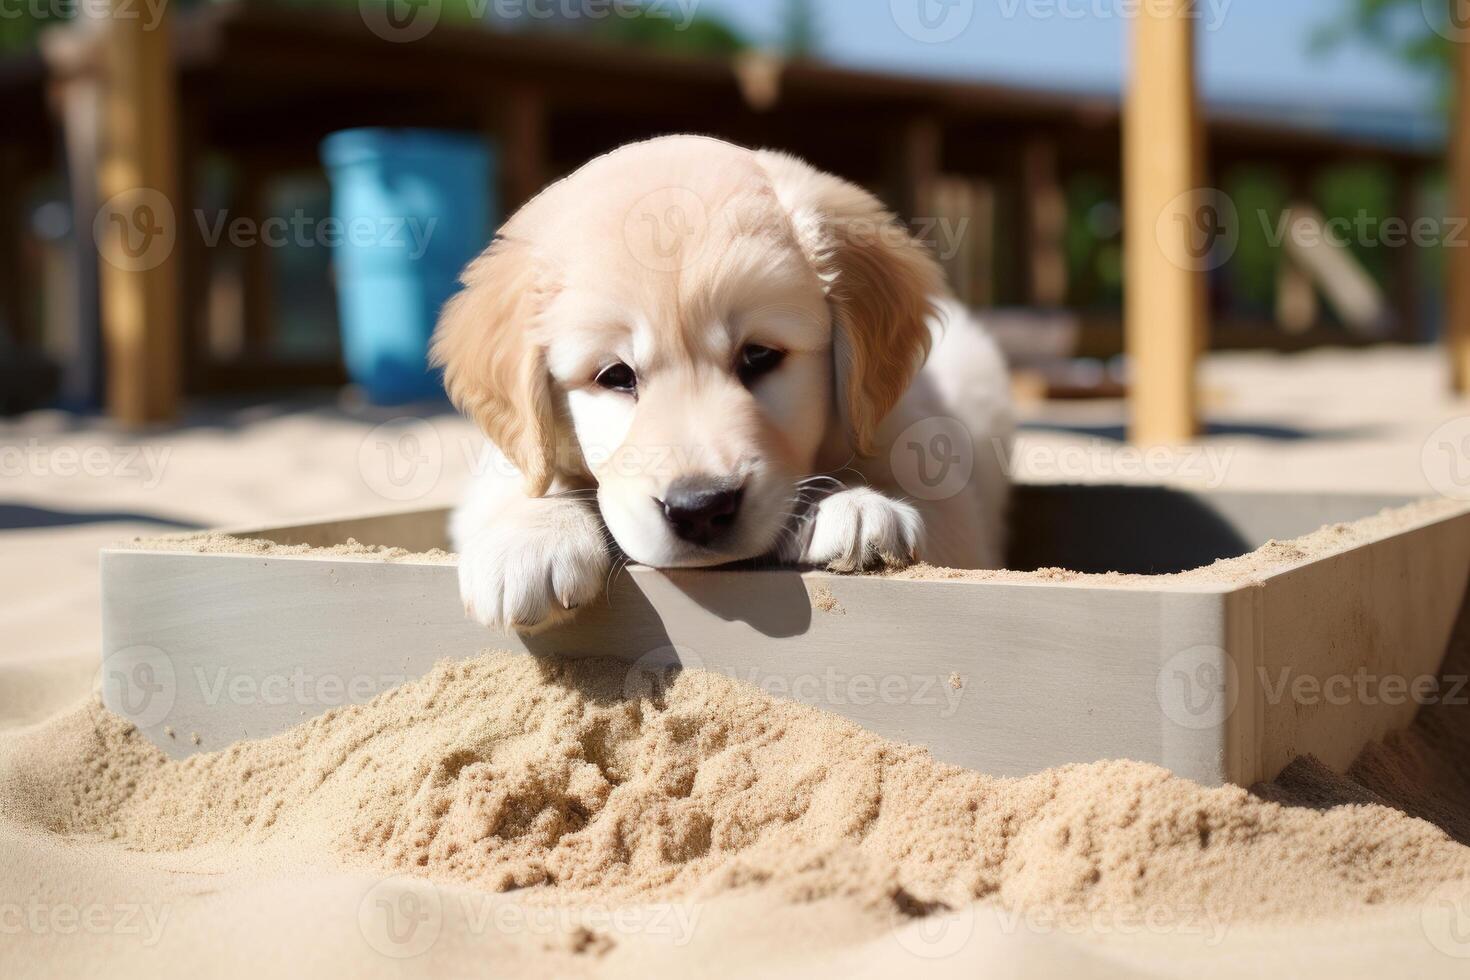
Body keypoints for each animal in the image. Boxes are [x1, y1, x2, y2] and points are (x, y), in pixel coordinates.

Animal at [435, 134, 1011, 631]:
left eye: (759, 355)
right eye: (615, 375)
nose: (701, 509)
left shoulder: (944, 486)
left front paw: (857, 507)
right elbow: (531, 485)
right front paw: (526, 541)